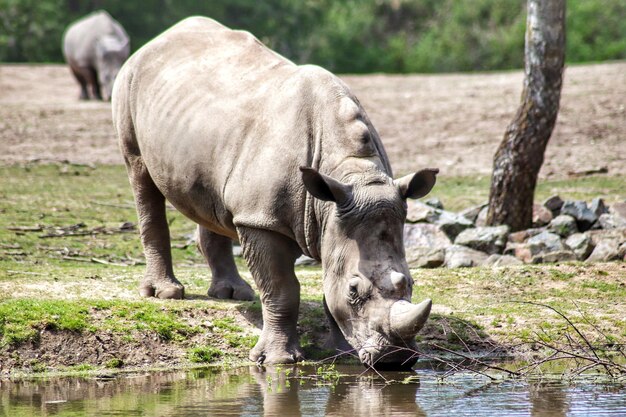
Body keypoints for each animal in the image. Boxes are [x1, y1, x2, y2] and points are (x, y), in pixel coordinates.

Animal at [111, 17, 434, 368]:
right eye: (353, 291)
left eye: (411, 283)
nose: (395, 359)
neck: (353, 173)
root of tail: (155, 42)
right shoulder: (261, 219)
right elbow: (282, 289)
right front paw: (276, 360)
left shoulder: (334, 215)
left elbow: (327, 282)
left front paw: (342, 352)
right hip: (127, 84)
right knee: (140, 174)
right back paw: (166, 294)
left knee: (212, 200)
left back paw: (232, 294)